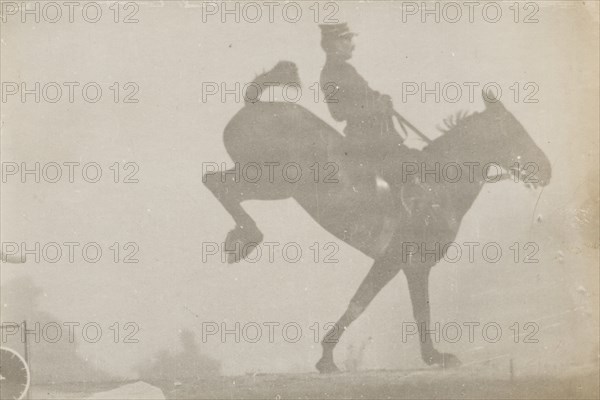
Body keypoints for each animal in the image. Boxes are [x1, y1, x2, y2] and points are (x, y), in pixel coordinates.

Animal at [204, 61, 552, 374]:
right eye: (514, 131)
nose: (546, 169)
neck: (437, 187)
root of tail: (254, 105)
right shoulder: (402, 261)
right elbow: (384, 305)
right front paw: (330, 358)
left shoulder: (403, 264)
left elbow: (393, 306)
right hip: (272, 182)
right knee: (217, 184)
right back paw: (245, 238)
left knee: (218, 182)